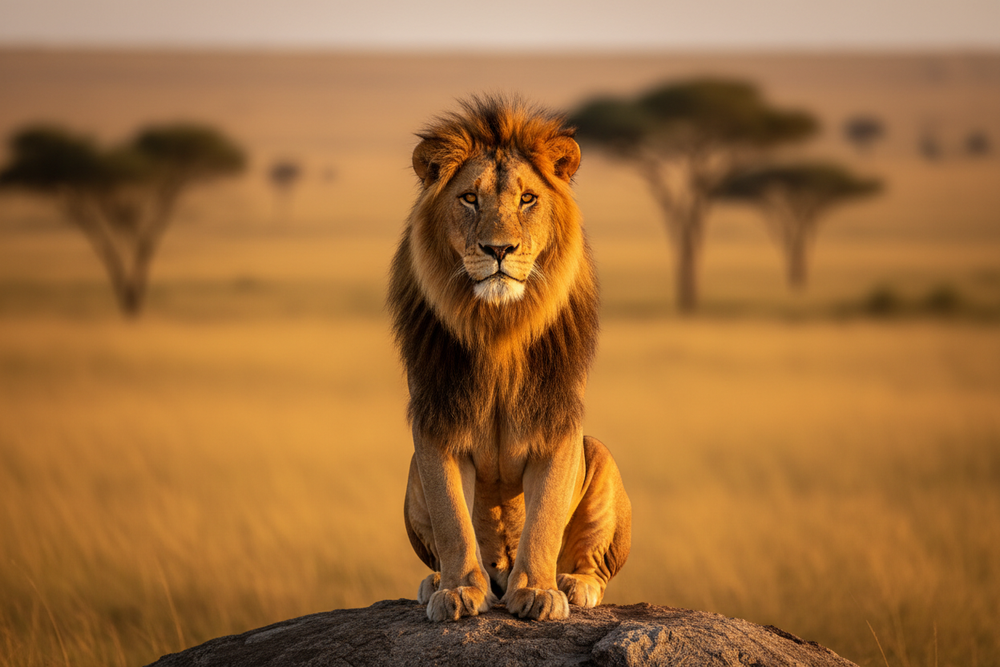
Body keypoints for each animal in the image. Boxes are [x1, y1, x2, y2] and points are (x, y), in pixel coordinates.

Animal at [389, 95, 631, 622]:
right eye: (469, 199)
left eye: (527, 200)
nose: (498, 249)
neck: (499, 329)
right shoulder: (436, 424)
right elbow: (453, 521)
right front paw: (459, 589)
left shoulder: (558, 422)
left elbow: (544, 520)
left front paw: (539, 591)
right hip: (412, 471)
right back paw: (436, 580)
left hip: (600, 456)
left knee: (592, 561)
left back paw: (573, 584)